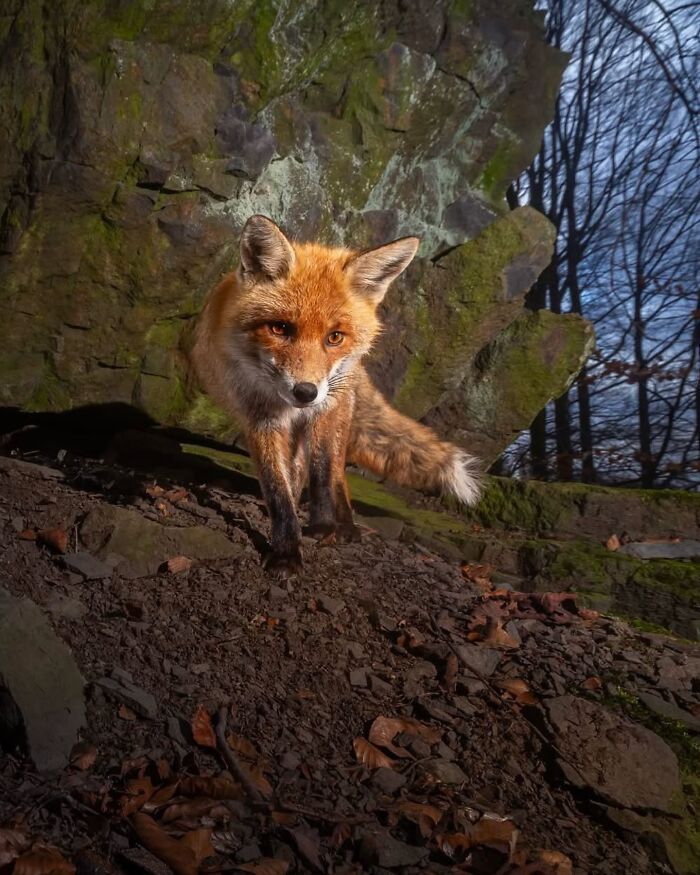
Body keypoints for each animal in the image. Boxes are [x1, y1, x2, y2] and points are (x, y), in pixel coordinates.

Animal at [189, 215, 481, 574]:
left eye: (335, 337)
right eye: (279, 329)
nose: (305, 392)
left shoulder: (327, 409)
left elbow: (324, 472)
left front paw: (325, 527)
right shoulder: (260, 417)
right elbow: (277, 487)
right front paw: (287, 548)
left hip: (340, 409)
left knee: (336, 471)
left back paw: (346, 524)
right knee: (297, 467)